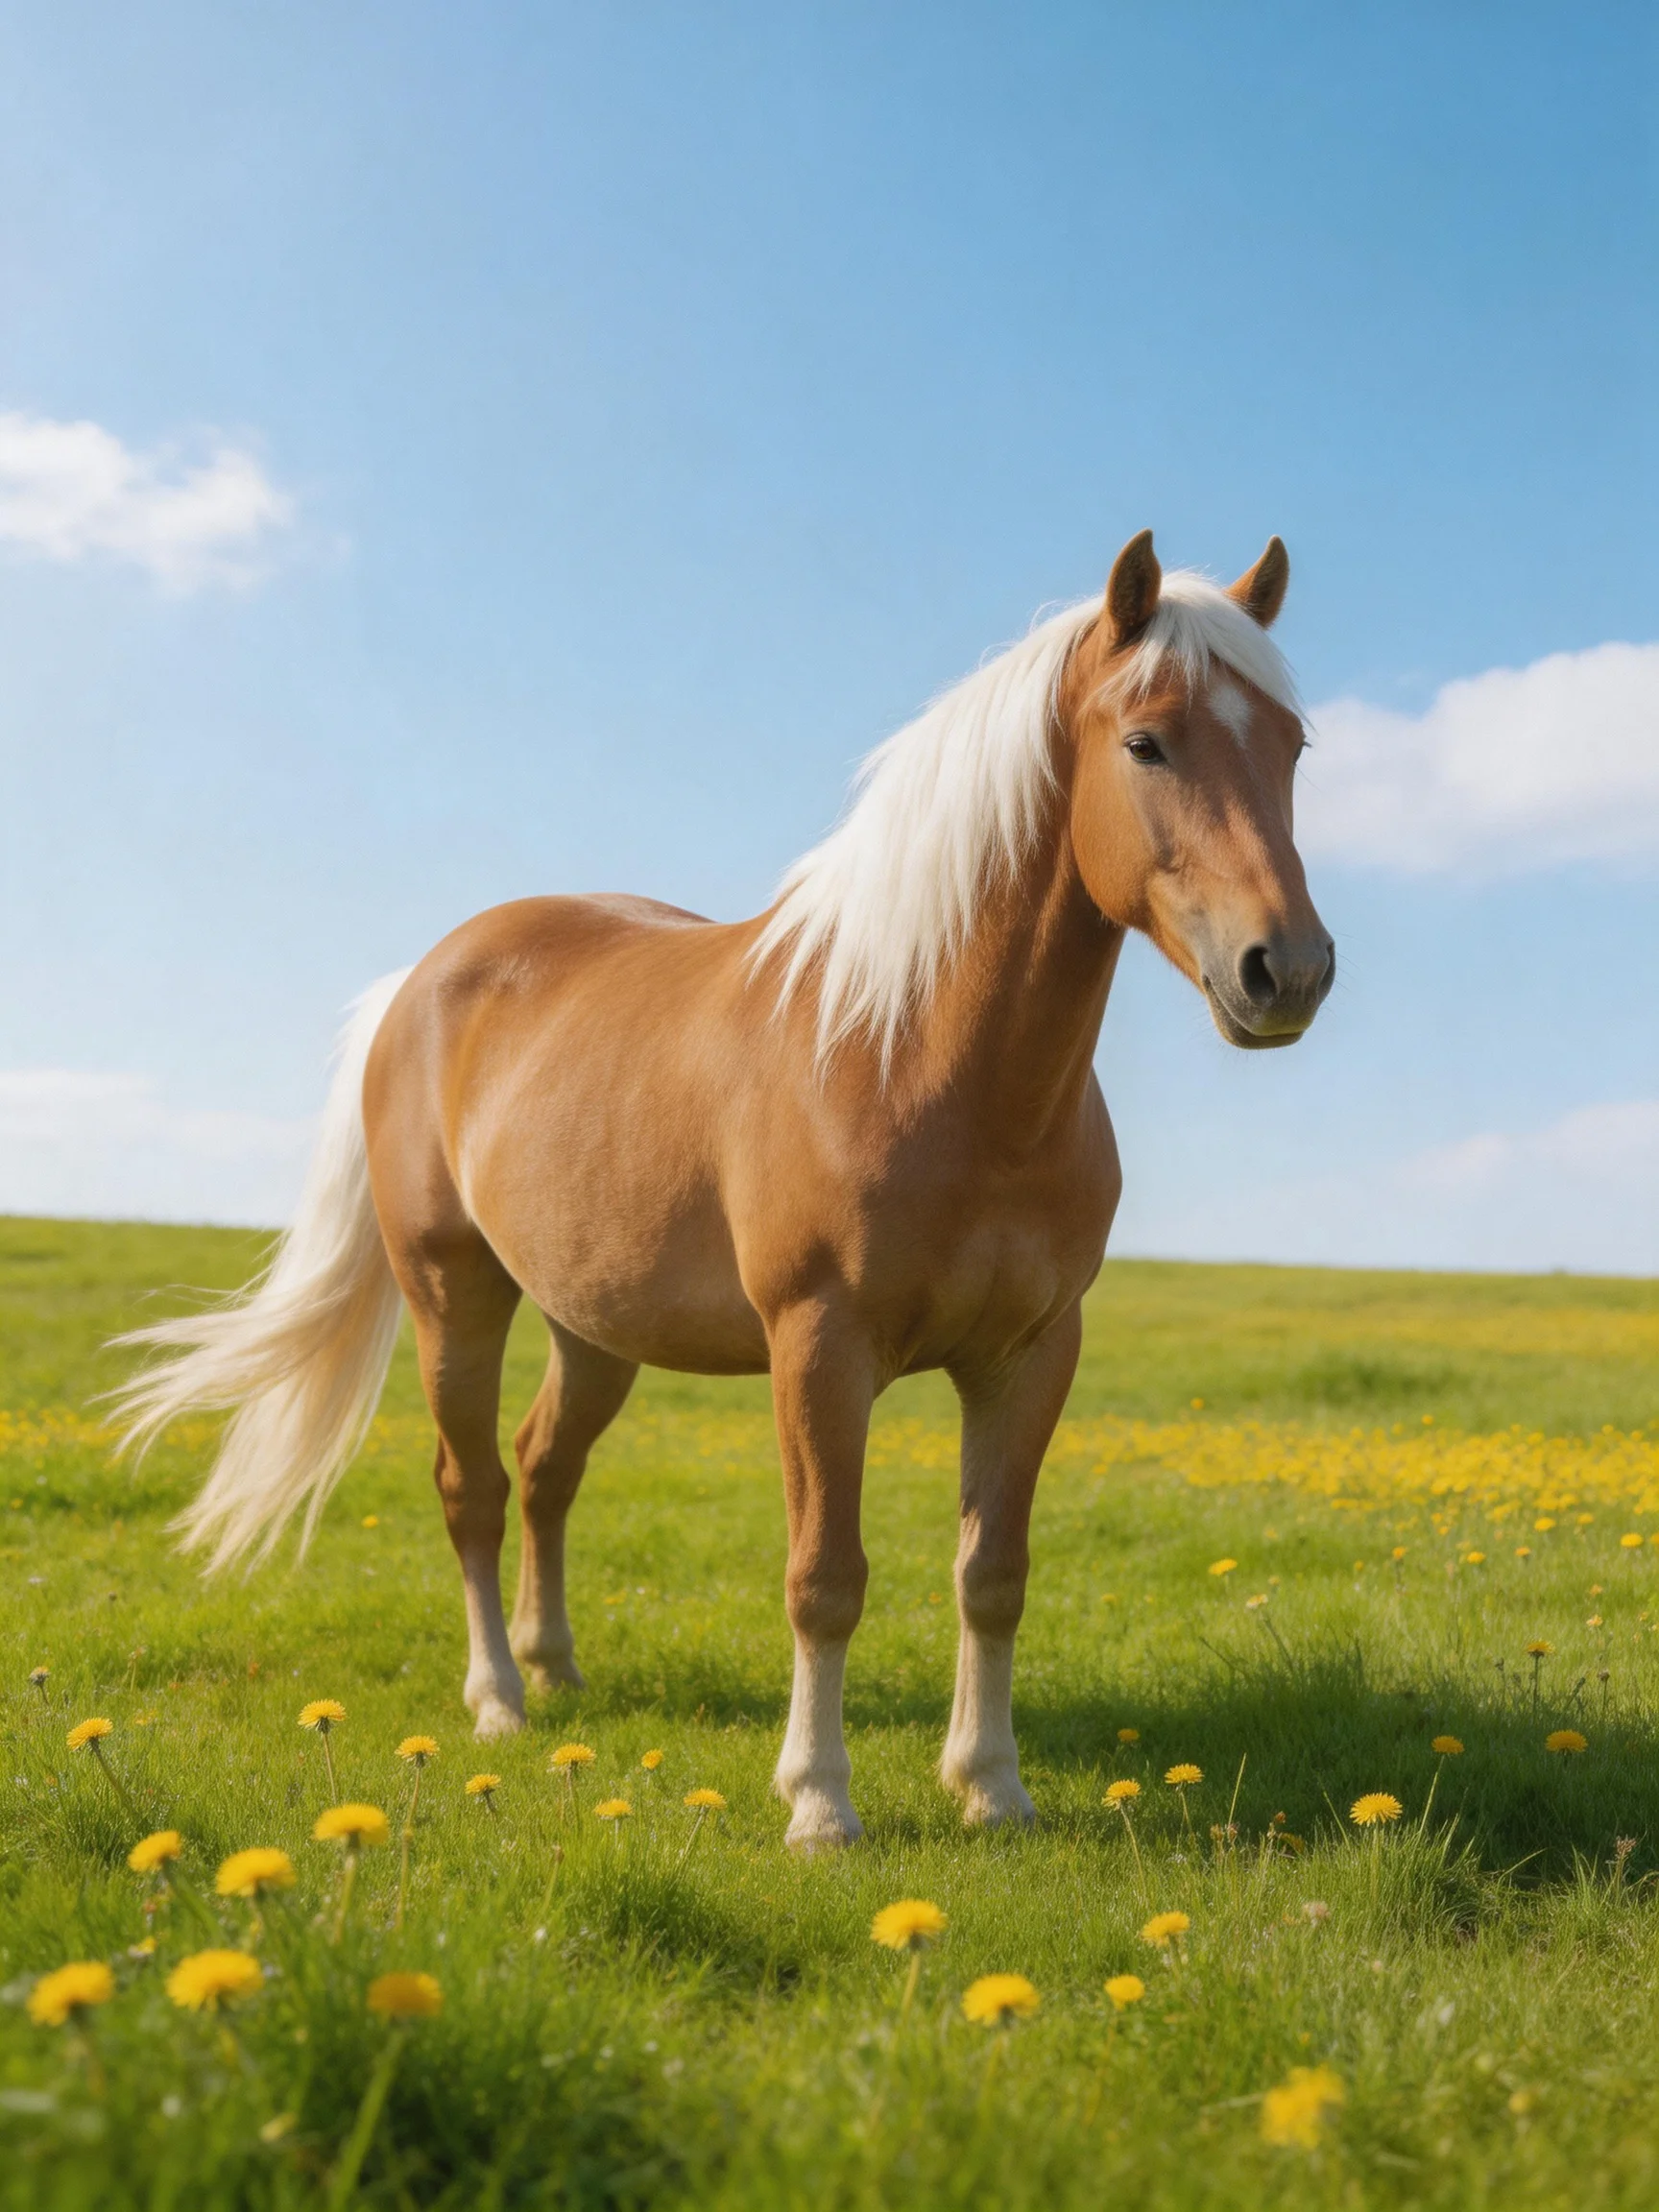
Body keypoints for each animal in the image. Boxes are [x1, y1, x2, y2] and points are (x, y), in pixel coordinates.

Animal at [113, 528, 1333, 1850]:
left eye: (1293, 744)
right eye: (1147, 741)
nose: (1287, 970)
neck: (916, 1054)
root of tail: (421, 981)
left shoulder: (1031, 1356)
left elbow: (992, 1575)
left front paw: (992, 1788)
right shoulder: (819, 1348)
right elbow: (825, 1579)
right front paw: (820, 1803)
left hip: (593, 1327)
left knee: (545, 1468)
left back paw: (557, 1667)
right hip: (454, 1296)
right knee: (472, 1487)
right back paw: (498, 1702)